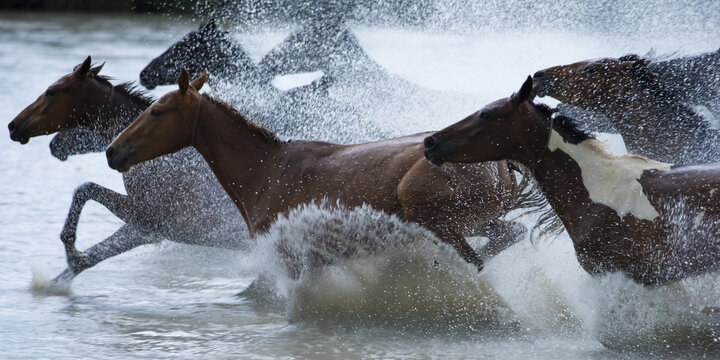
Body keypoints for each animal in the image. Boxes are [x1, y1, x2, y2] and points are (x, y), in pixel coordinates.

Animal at [7, 57, 249, 286]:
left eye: (51, 91)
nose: (13, 125)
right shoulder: (146, 228)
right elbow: (92, 255)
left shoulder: (150, 216)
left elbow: (86, 190)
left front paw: (69, 243)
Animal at [107, 68, 532, 276]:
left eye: (156, 111)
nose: (113, 152)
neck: (265, 170)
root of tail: (499, 162)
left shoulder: (290, 257)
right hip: (478, 220)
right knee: (506, 238)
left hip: (436, 220)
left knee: (476, 258)